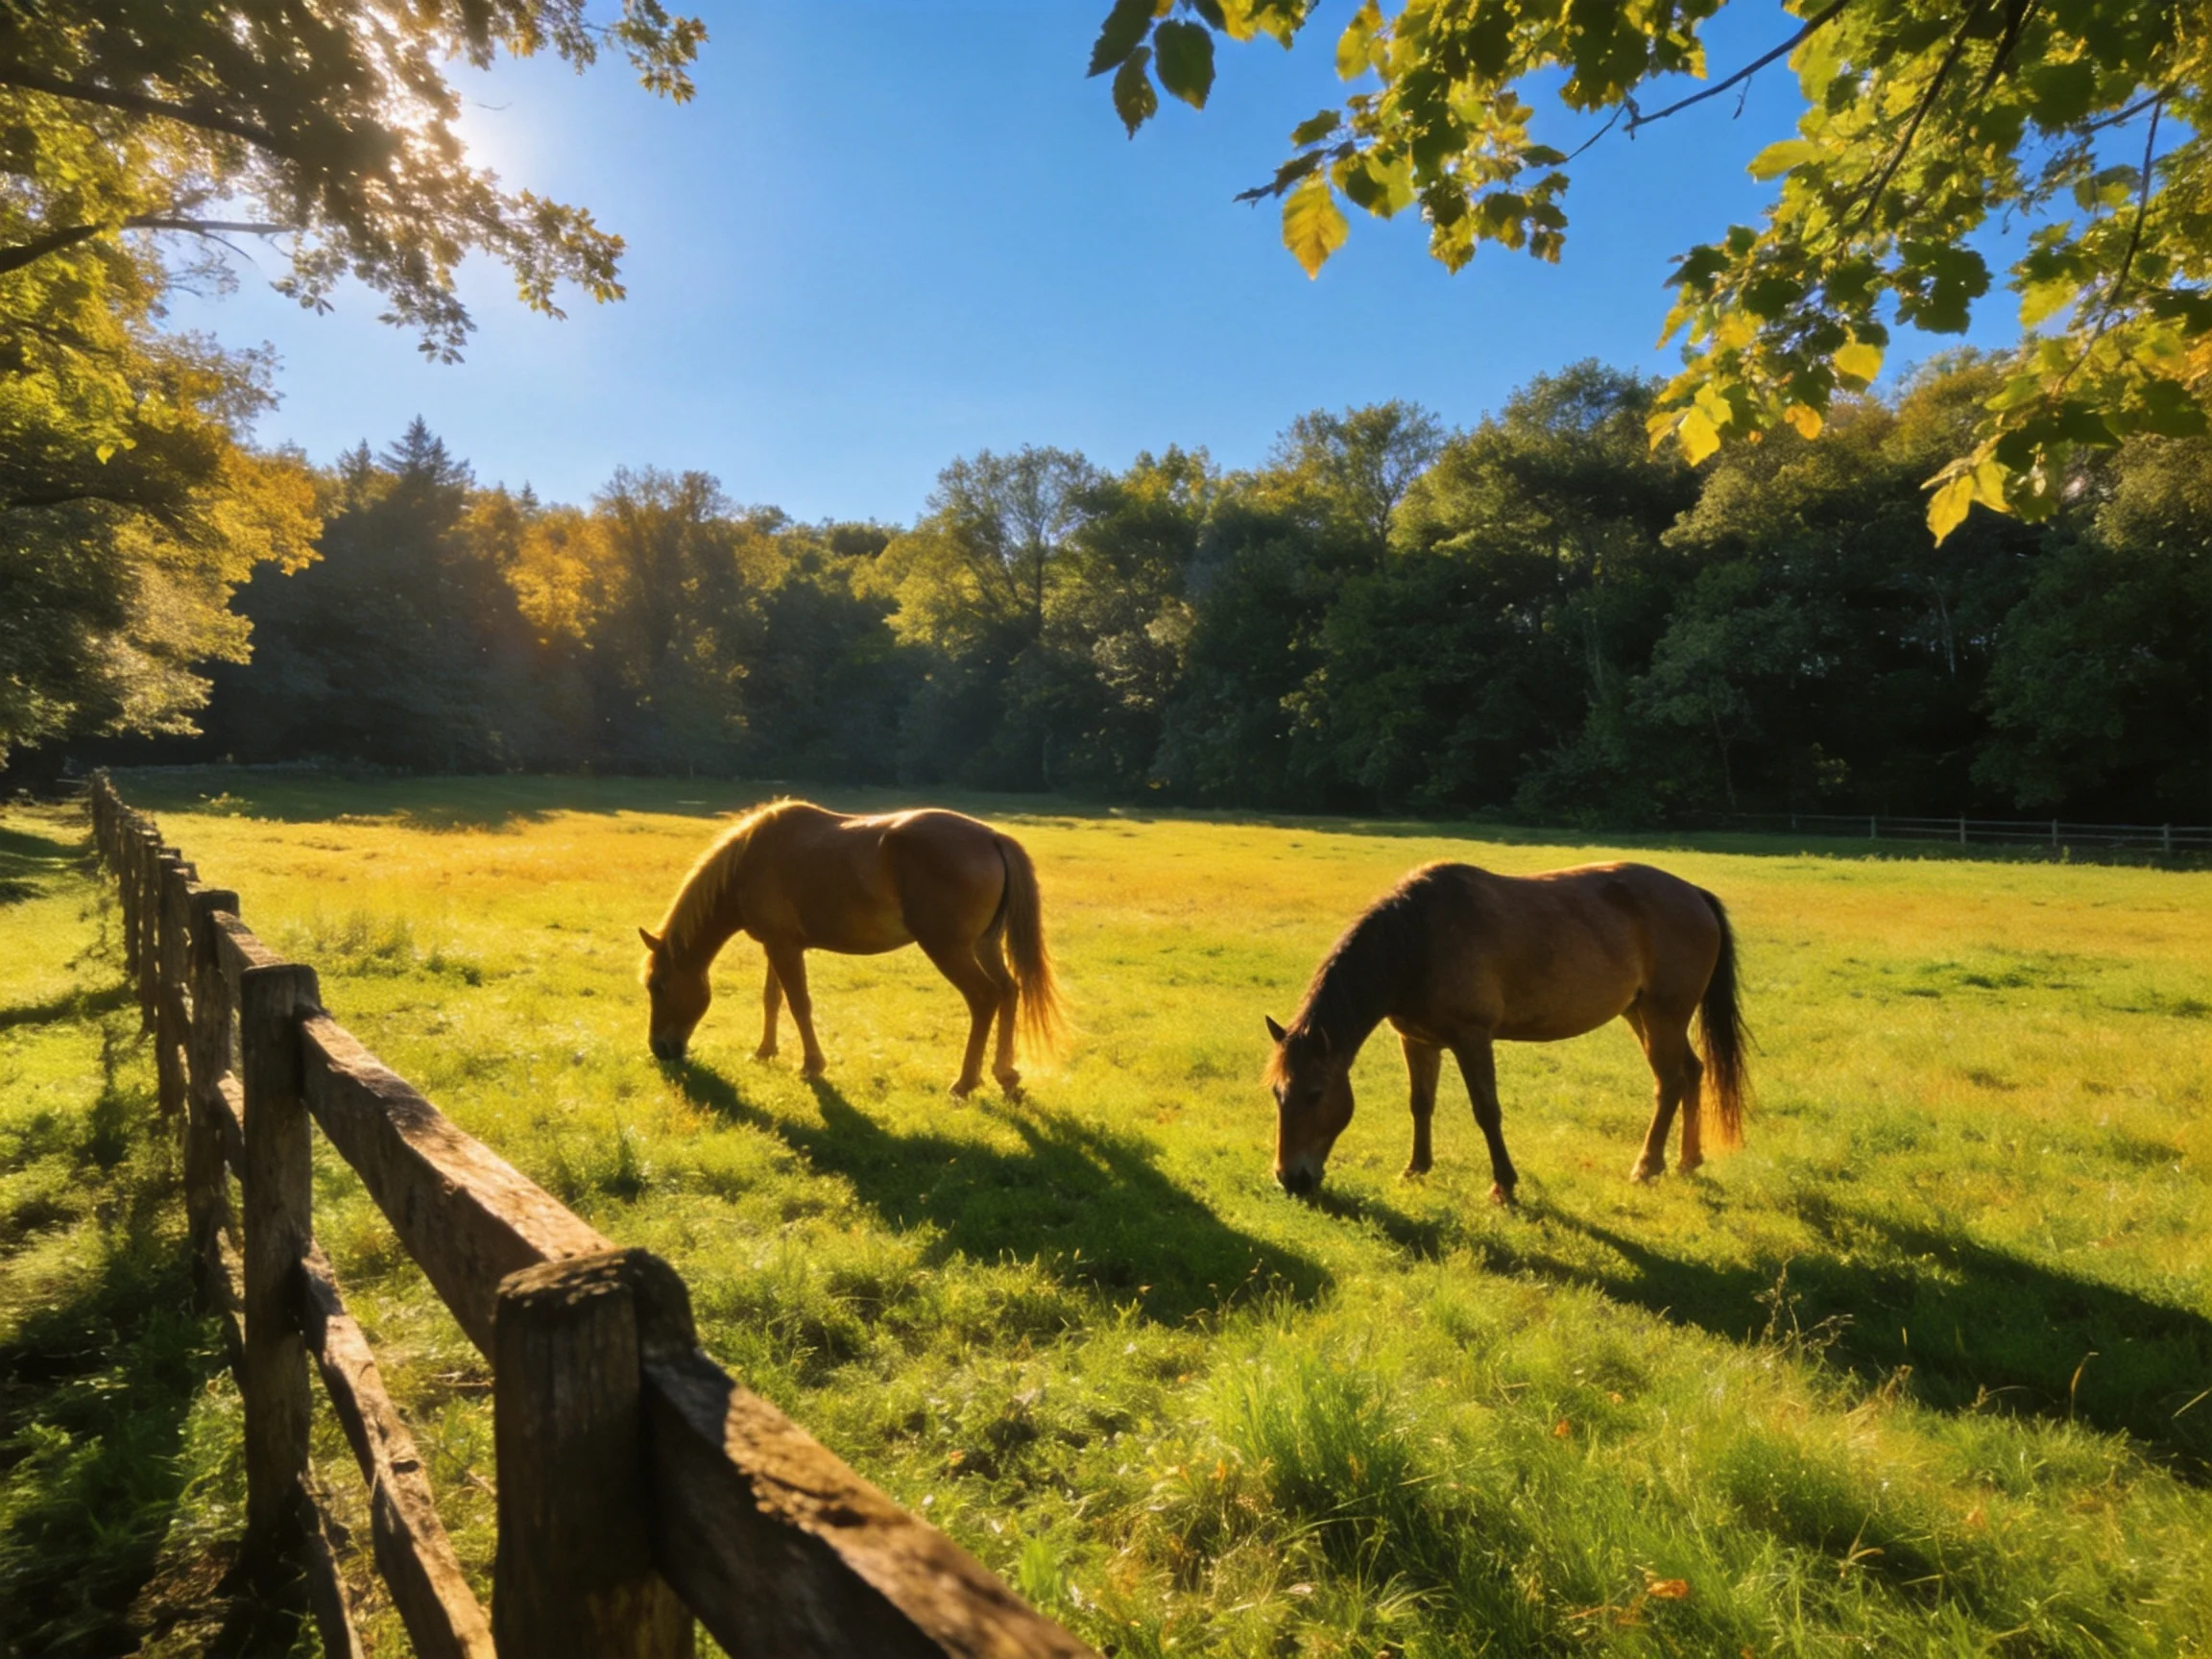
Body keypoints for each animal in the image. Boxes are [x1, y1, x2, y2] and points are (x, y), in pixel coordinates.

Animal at [637, 800, 1061, 1096]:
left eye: (658, 985)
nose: (661, 1049)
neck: (749, 861)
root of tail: (992, 838)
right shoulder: (777, 945)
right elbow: (772, 999)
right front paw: (765, 1052)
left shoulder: (785, 949)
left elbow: (799, 1004)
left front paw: (811, 1065)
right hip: (985, 946)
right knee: (1008, 991)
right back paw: (1005, 1074)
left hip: (950, 950)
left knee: (984, 998)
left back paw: (965, 1083)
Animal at [1264, 860, 1747, 1202]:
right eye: (1277, 1094)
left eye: (1315, 1094)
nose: (1290, 1180)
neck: (1417, 941)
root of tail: (1694, 894)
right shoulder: (1418, 1041)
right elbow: (1421, 1105)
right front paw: (1416, 1168)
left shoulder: (1472, 1038)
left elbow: (1486, 1111)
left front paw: (1504, 1185)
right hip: (1643, 1015)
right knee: (1692, 1071)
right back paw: (1688, 1160)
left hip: (1665, 1015)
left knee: (1670, 1083)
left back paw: (1647, 1167)